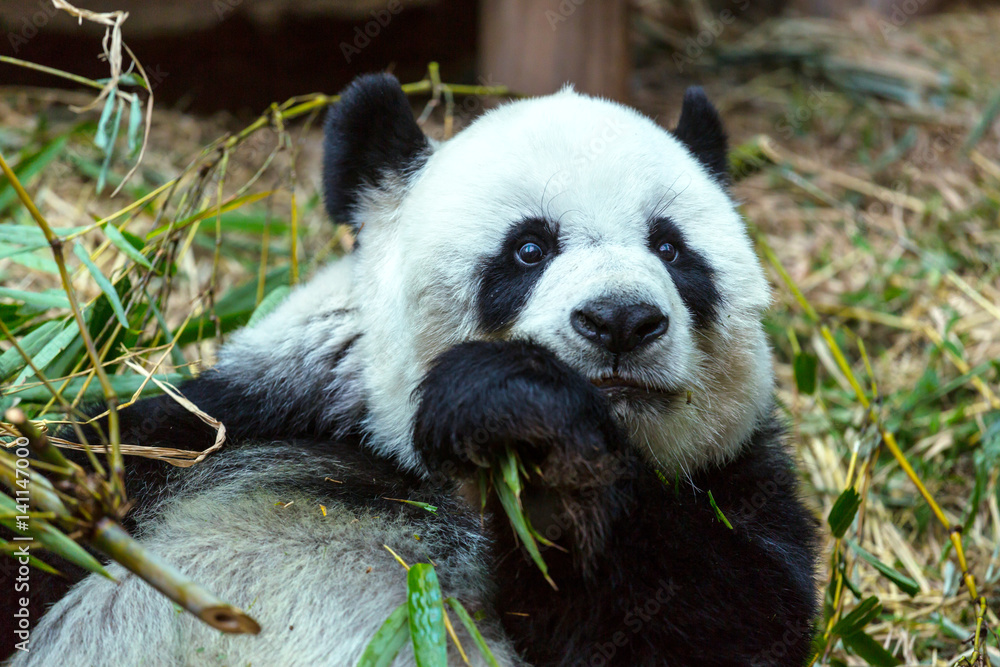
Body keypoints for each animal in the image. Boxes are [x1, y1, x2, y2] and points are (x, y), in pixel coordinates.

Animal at [11, 74, 818, 666]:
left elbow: (726, 618)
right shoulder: (228, 428)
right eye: (529, 249)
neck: (426, 472)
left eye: (672, 249)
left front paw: (532, 427)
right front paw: (519, 404)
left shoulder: (733, 477)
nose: (621, 319)